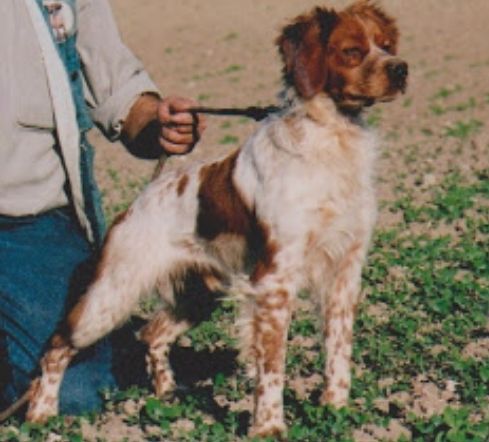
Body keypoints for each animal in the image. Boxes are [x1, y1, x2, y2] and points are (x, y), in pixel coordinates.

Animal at [26, 1, 407, 437]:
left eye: (386, 45)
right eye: (351, 51)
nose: (401, 69)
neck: (330, 137)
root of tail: (144, 197)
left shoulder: (345, 272)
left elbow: (338, 349)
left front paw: (336, 408)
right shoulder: (274, 279)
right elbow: (271, 366)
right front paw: (269, 426)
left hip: (197, 295)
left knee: (151, 333)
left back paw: (166, 393)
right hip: (111, 295)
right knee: (56, 346)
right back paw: (41, 414)